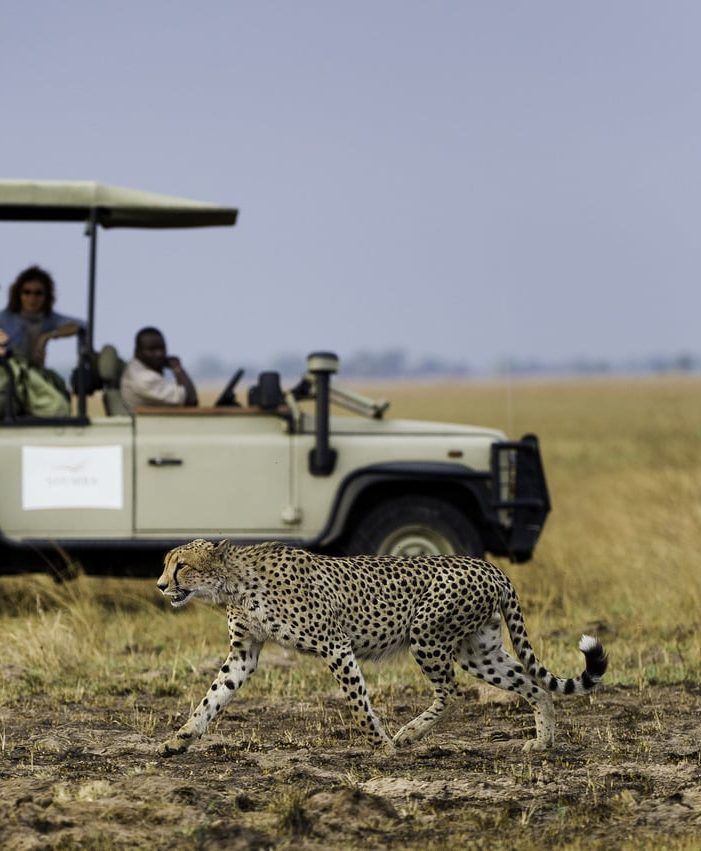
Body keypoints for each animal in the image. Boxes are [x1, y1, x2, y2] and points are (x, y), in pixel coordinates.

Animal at [156, 544, 604, 756]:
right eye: (166, 564)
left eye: (181, 565)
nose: (161, 585)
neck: (233, 581)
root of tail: (489, 566)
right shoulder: (243, 653)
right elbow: (212, 697)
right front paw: (181, 738)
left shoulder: (335, 644)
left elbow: (358, 702)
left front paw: (381, 744)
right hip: (479, 651)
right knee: (534, 686)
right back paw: (543, 741)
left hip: (427, 633)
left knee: (451, 691)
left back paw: (407, 735)